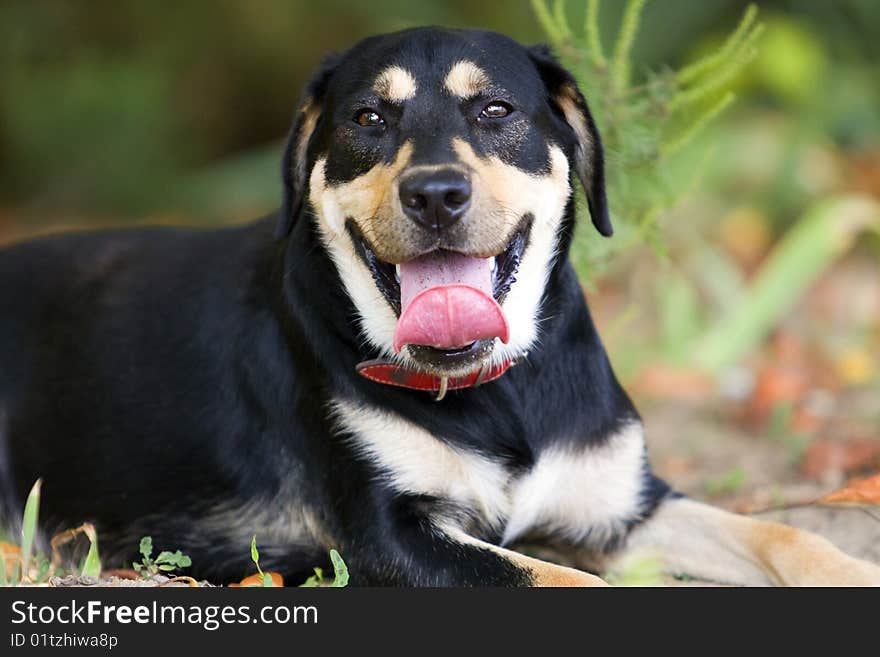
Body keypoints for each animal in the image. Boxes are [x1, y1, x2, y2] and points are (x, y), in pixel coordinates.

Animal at [1, 28, 880, 588]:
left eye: (495, 110)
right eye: (368, 117)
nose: (435, 194)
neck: (500, 389)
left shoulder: (623, 508)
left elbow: (782, 530)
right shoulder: (391, 537)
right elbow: (562, 582)